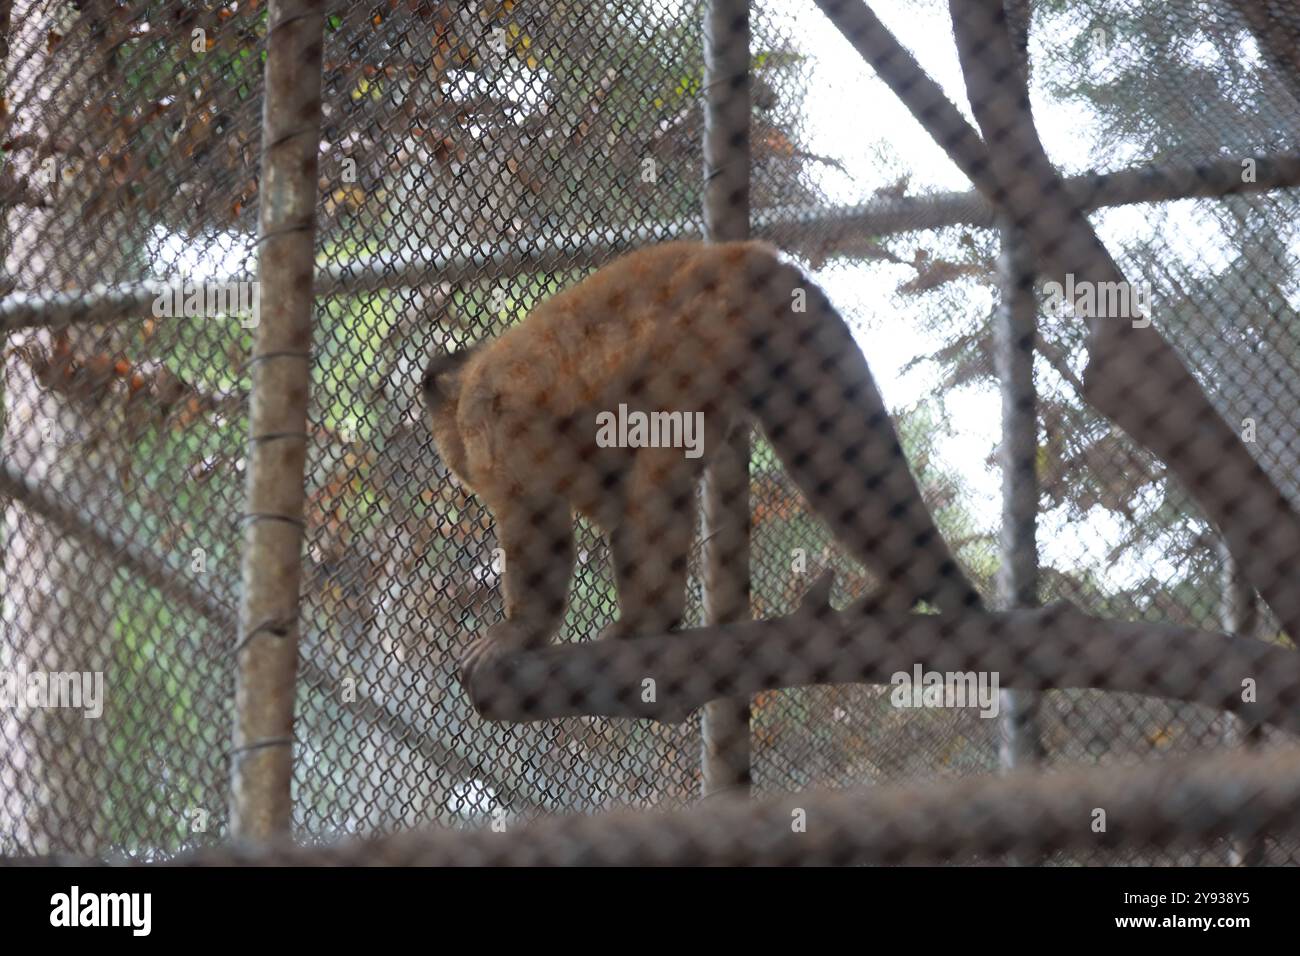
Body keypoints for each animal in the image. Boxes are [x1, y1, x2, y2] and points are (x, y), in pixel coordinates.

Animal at [421, 243, 977, 686]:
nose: (454, 466)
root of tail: (752, 258)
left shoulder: (489, 419)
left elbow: (537, 513)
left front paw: (520, 632)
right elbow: (612, 504)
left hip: (705, 326)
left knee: (659, 465)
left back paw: (648, 622)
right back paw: (906, 587)